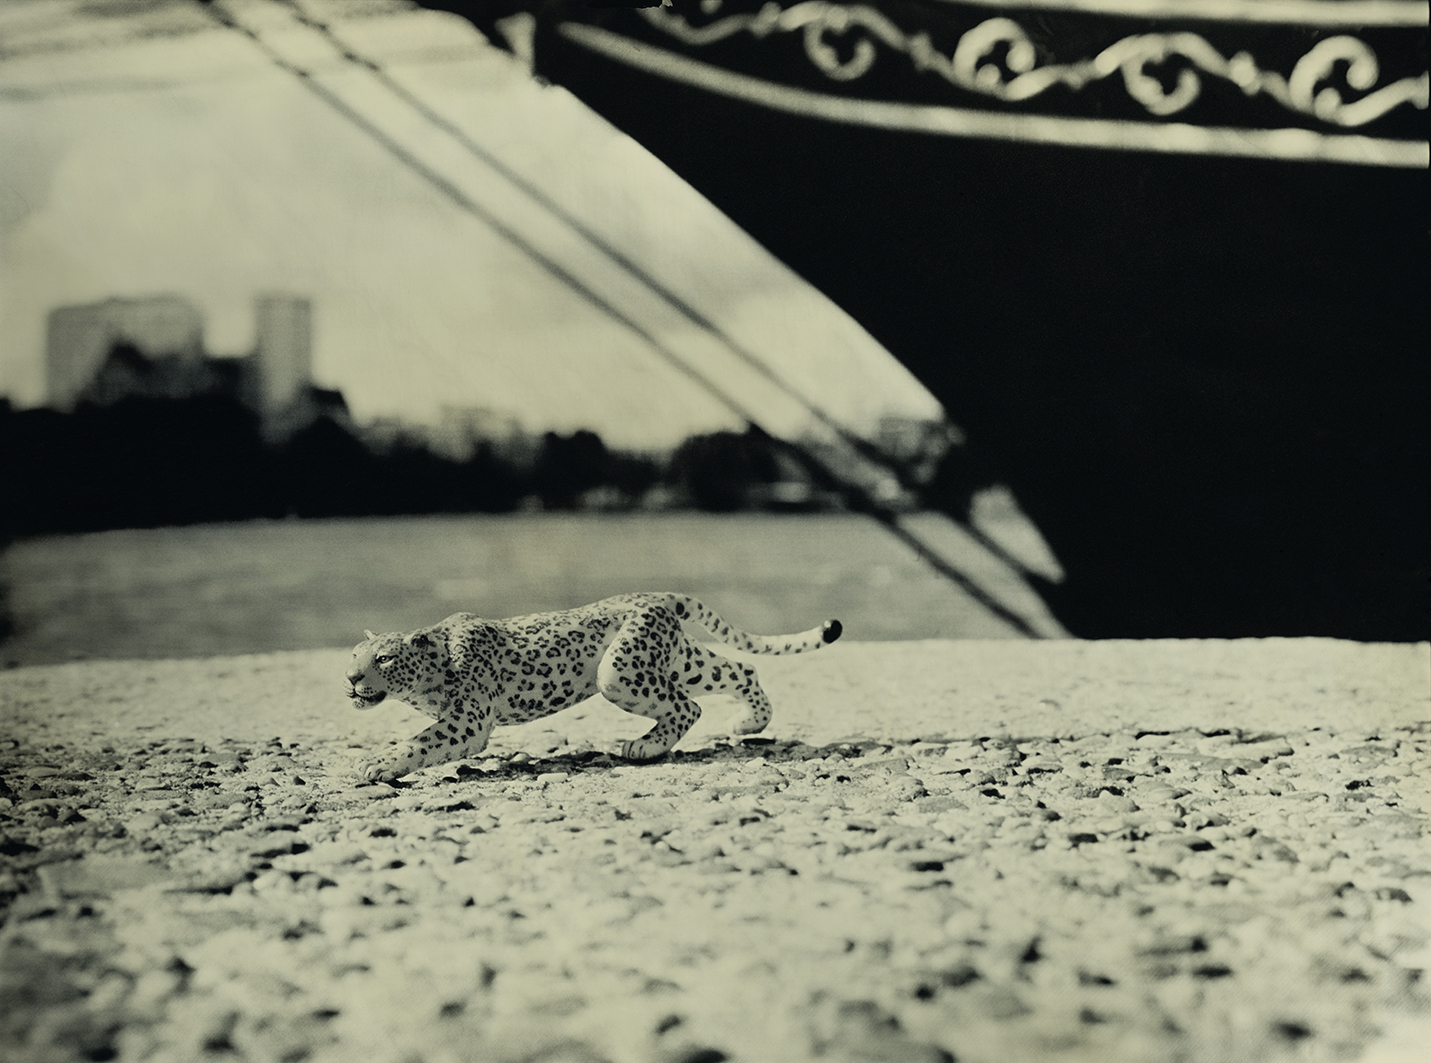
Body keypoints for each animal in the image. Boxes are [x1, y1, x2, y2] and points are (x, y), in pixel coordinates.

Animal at [346, 592, 842, 782]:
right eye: (352, 656)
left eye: (383, 658)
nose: (350, 681)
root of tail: (661, 596)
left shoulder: (468, 721)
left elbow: (421, 741)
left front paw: (377, 765)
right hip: (680, 663)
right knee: (742, 669)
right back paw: (749, 723)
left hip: (620, 672)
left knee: (688, 707)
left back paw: (645, 747)